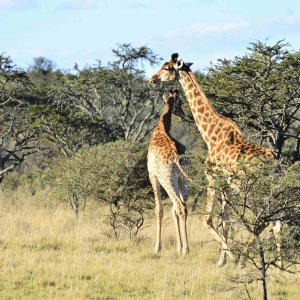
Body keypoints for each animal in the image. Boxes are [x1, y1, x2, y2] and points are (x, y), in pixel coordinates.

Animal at [148, 89, 190, 255]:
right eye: (181, 102)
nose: (183, 115)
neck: (161, 129)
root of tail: (176, 157)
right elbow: (171, 210)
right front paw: (178, 246)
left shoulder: (152, 176)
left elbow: (159, 209)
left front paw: (157, 248)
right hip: (183, 180)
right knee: (182, 206)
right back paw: (183, 248)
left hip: (167, 179)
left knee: (179, 206)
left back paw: (186, 249)